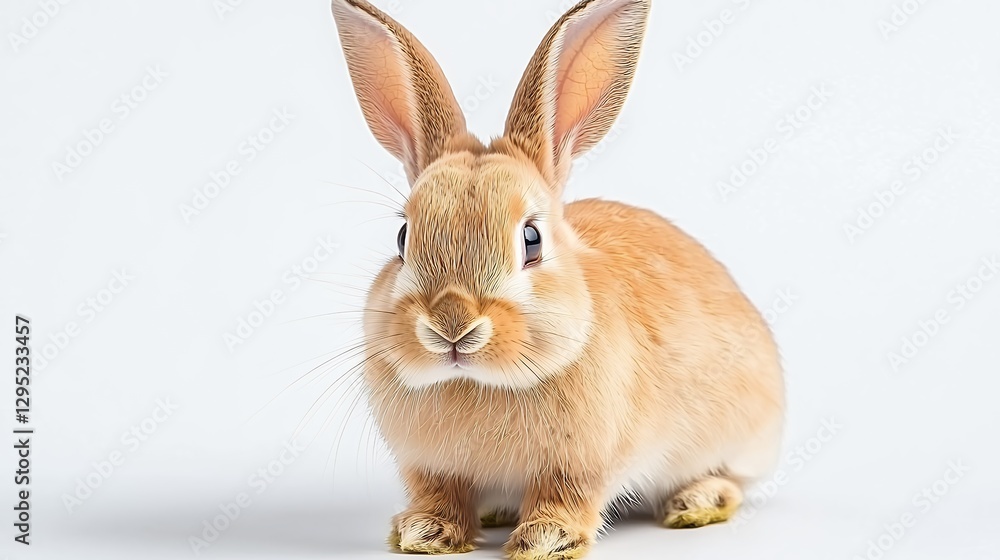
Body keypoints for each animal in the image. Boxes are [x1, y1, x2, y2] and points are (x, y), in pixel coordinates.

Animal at [330, 0, 785, 557]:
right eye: (401, 237)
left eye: (531, 240)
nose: (451, 325)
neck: (479, 382)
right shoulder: (431, 467)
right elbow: (440, 494)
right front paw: (424, 531)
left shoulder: (582, 464)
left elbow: (565, 496)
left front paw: (545, 539)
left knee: (732, 480)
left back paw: (695, 503)